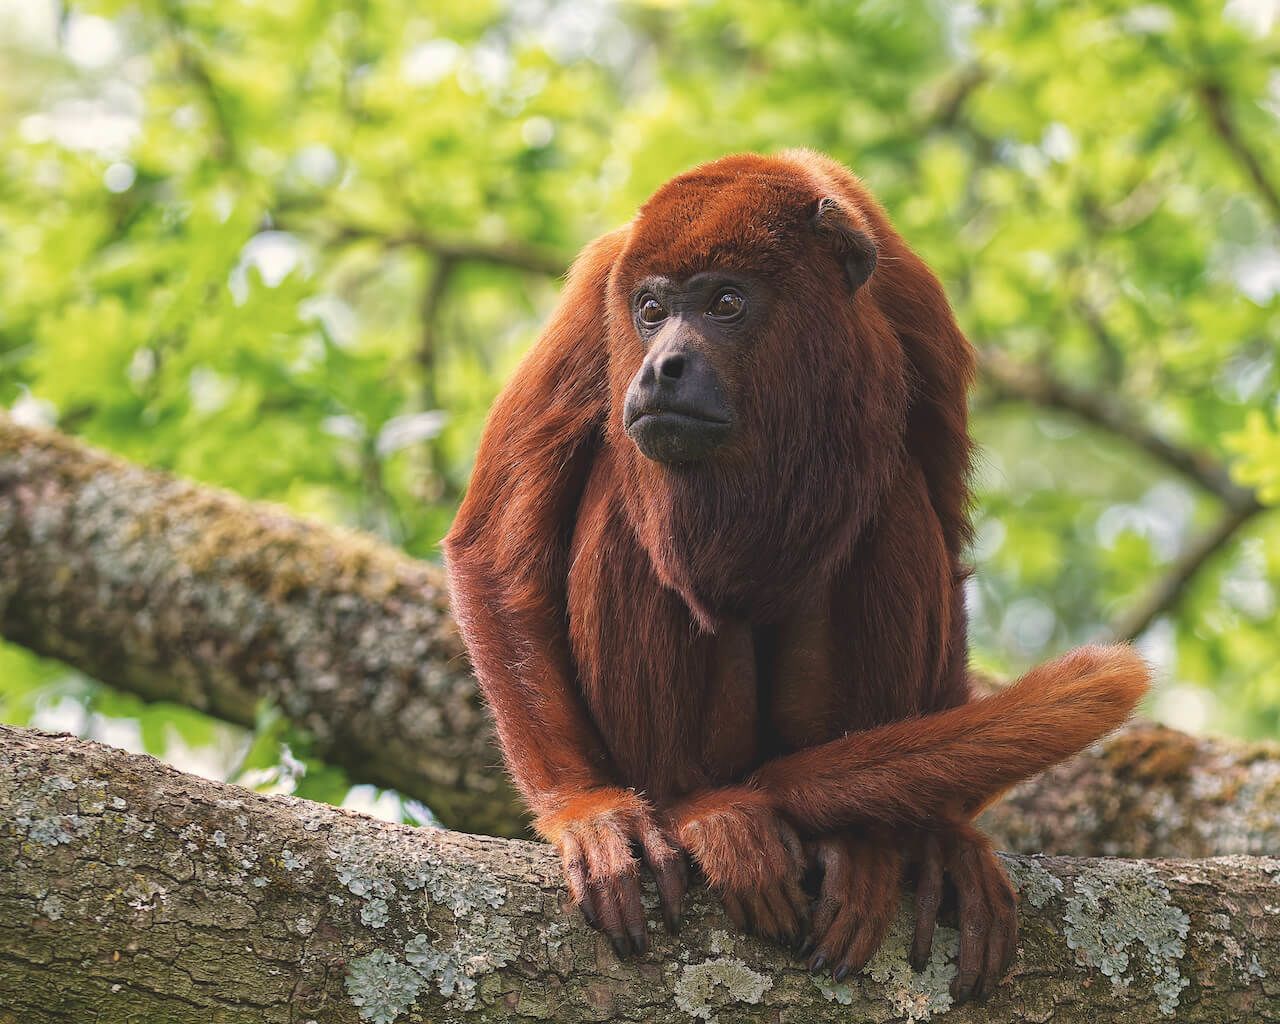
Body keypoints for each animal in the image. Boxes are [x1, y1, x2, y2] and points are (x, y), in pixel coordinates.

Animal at [443, 150, 1148, 1002]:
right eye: (650, 310)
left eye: (726, 302)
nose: (661, 366)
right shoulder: (592, 299)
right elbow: (494, 548)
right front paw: (587, 811)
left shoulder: (915, 304)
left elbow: (946, 533)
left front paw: (944, 836)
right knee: (621, 490)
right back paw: (702, 811)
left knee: (895, 494)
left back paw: (857, 843)